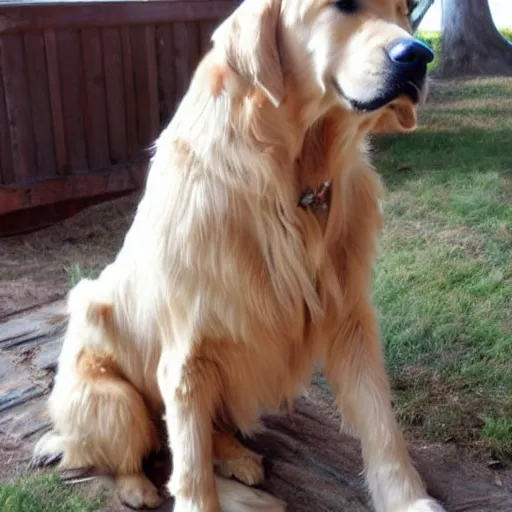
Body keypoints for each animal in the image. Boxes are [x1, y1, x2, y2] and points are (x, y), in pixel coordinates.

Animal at [35, 0, 444, 510]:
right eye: (342, 6)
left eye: (402, 13)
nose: (420, 55)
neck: (290, 179)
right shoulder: (187, 352)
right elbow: (191, 469)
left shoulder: (350, 319)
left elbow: (381, 424)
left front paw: (408, 499)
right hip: (114, 401)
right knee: (133, 451)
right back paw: (138, 487)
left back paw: (237, 458)